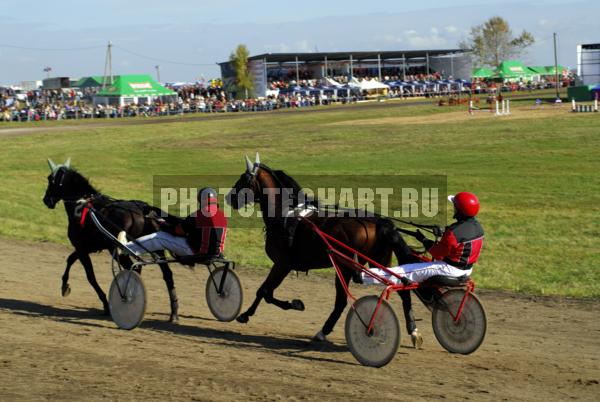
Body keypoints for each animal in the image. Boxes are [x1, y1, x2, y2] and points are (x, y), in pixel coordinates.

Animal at [42, 159, 179, 322]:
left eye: (50, 179)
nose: (46, 200)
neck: (83, 206)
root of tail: (143, 209)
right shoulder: (88, 247)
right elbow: (70, 259)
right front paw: (65, 286)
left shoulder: (82, 248)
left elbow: (90, 276)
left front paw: (106, 304)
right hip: (155, 248)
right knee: (167, 274)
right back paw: (173, 313)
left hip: (120, 249)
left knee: (135, 269)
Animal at [226, 154, 422, 342]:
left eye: (243, 179)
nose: (229, 198)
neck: (284, 216)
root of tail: (379, 222)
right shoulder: (283, 265)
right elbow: (266, 291)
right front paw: (251, 313)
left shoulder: (282, 264)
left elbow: (265, 291)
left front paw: (253, 312)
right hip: (378, 262)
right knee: (401, 290)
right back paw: (413, 330)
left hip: (344, 266)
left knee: (341, 301)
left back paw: (325, 331)